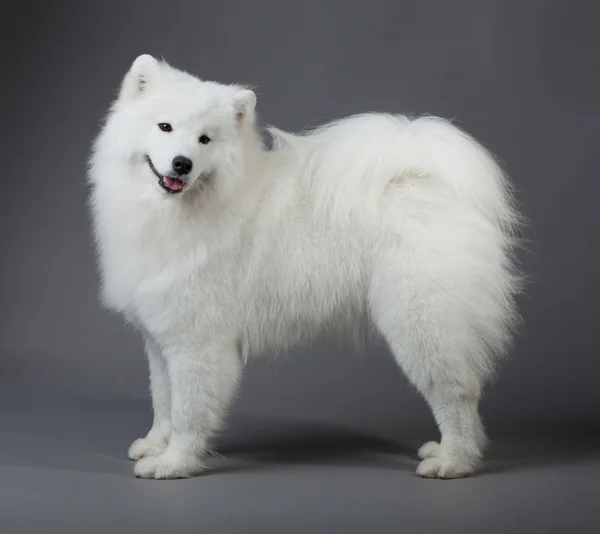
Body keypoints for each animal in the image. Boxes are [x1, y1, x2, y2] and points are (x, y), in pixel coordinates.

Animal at [86, 54, 524, 482]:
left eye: (204, 139)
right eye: (165, 126)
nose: (181, 164)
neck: (175, 211)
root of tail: (426, 178)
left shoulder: (197, 342)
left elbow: (189, 412)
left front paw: (174, 463)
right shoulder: (160, 339)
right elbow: (163, 401)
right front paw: (154, 445)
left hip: (422, 324)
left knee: (457, 396)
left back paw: (453, 461)